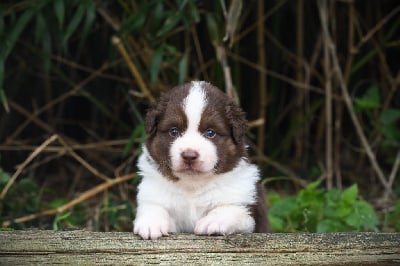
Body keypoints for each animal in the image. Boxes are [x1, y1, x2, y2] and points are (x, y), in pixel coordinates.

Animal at [133, 80, 268, 240]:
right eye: (174, 131)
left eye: (210, 133)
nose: (189, 155)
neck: (192, 185)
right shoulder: (152, 194)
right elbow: (154, 207)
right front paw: (151, 223)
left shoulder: (249, 209)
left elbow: (230, 209)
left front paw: (213, 222)